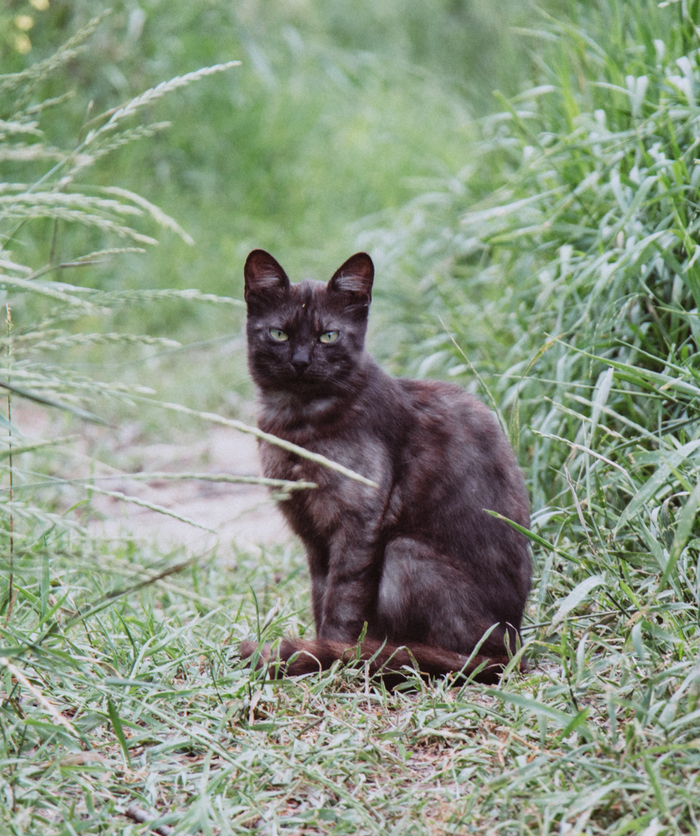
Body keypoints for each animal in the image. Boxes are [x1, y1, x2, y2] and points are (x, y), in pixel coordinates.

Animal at [241, 250, 532, 684]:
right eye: (279, 334)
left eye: (328, 336)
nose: (300, 361)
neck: (297, 421)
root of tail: (515, 644)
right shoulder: (312, 533)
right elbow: (320, 592)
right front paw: (324, 649)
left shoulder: (359, 522)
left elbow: (342, 599)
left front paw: (330, 656)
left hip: (404, 553)